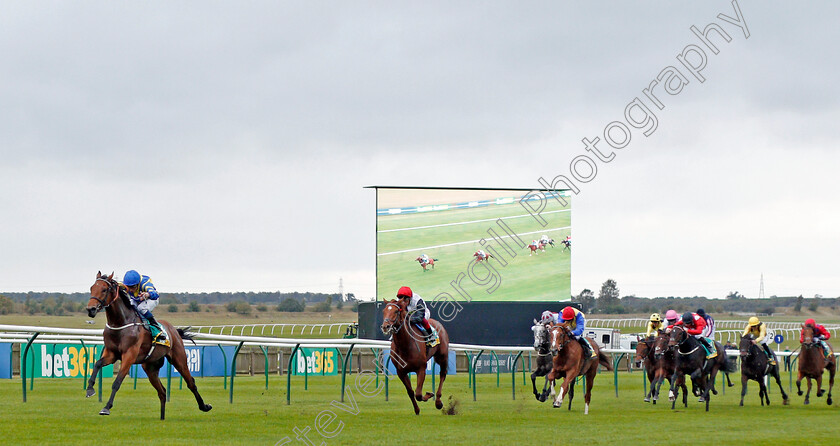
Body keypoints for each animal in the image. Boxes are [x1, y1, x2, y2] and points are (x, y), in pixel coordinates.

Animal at [84, 270, 213, 420]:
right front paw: (90, 389)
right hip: (150, 367)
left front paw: (106, 407)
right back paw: (162, 418)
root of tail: (174, 330)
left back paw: (204, 406)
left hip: (179, 359)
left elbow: (117, 382)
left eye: (104, 289)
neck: (120, 323)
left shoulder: (129, 355)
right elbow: (97, 364)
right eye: (91, 288)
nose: (91, 309)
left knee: (191, 383)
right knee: (162, 391)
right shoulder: (111, 353)